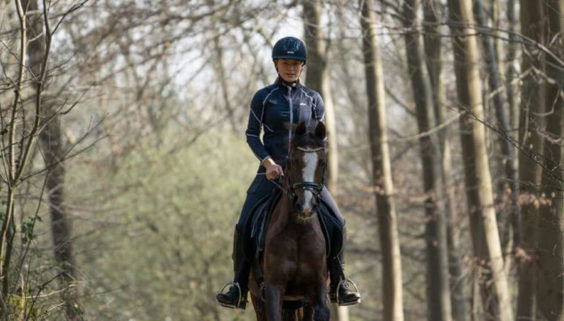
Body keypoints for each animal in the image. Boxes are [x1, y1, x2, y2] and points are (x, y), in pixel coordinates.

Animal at [248, 120, 330, 320]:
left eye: (323, 162)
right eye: (292, 161)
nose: (306, 206)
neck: (299, 231)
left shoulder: (316, 287)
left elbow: (322, 312)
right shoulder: (273, 288)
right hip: (258, 299)